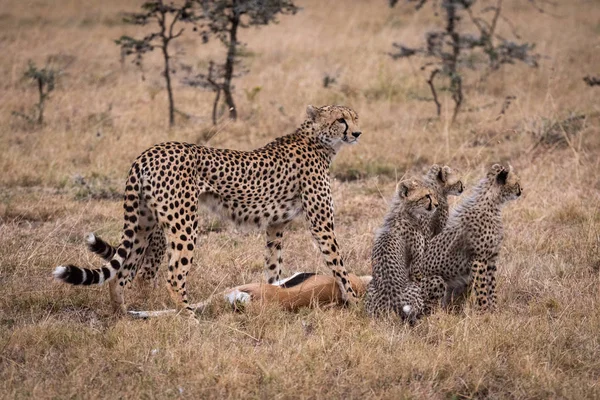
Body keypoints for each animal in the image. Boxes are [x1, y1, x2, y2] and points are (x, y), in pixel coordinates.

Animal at [52, 104, 360, 314]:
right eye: (340, 120)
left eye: (355, 117)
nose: (357, 132)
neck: (318, 141)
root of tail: (149, 152)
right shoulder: (321, 225)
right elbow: (339, 265)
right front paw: (357, 305)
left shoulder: (275, 227)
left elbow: (273, 268)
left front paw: (273, 294)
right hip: (184, 224)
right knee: (173, 276)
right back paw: (190, 319)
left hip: (142, 225)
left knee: (123, 274)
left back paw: (123, 316)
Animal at [364, 178, 442, 322]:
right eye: (427, 196)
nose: (437, 205)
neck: (404, 210)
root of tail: (391, 303)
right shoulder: (417, 267)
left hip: (371, 289)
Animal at [412, 164, 520, 310]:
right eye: (516, 183)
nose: (521, 190)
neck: (492, 203)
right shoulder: (478, 260)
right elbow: (482, 289)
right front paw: (484, 311)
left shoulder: (491, 259)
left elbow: (492, 287)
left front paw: (494, 310)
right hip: (436, 280)